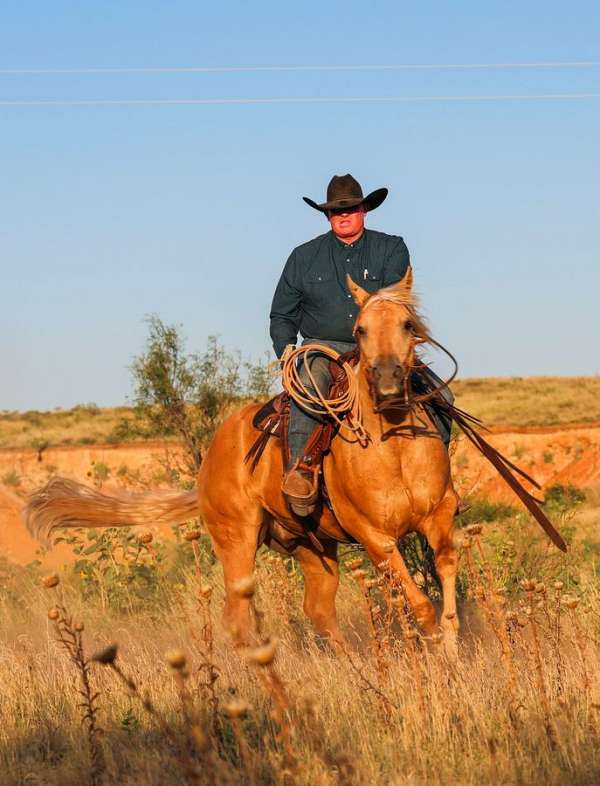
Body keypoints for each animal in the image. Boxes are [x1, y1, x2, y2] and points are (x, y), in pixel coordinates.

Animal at [25, 267, 460, 655]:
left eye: (407, 324)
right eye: (360, 330)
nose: (387, 382)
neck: (394, 447)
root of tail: (208, 463)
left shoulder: (438, 516)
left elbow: (445, 584)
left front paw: (452, 653)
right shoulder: (374, 537)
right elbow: (421, 604)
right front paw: (439, 659)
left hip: (312, 547)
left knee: (317, 609)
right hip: (237, 542)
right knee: (236, 617)